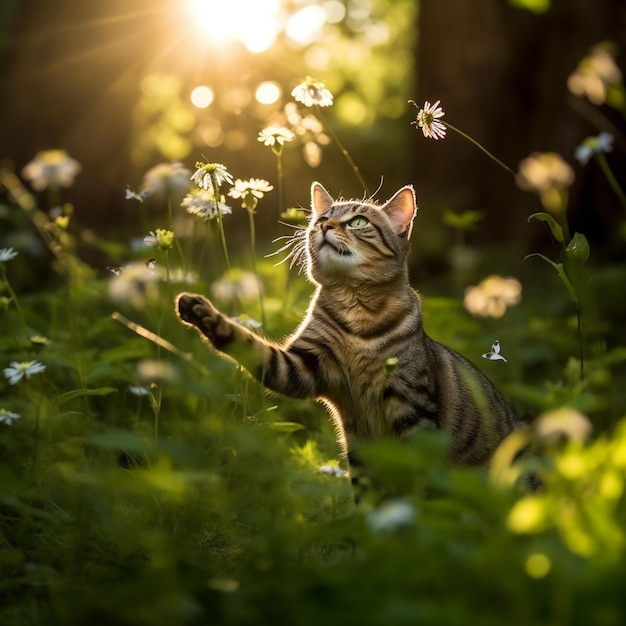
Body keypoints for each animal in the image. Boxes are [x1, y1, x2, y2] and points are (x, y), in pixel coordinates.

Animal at [174, 180, 516, 492]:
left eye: (358, 221)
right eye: (322, 216)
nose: (324, 224)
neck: (357, 315)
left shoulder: (413, 406)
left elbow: (416, 479)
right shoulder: (302, 367)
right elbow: (248, 344)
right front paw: (202, 313)